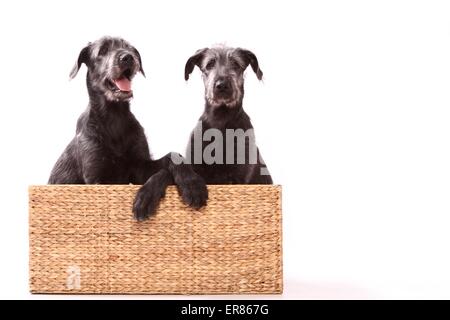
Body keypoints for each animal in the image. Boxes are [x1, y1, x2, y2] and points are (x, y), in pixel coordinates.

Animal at [49, 35, 209, 220]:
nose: (128, 58)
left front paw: (191, 184)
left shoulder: (139, 166)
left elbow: (171, 160)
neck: (115, 118)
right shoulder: (97, 178)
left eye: (130, 48)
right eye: (103, 50)